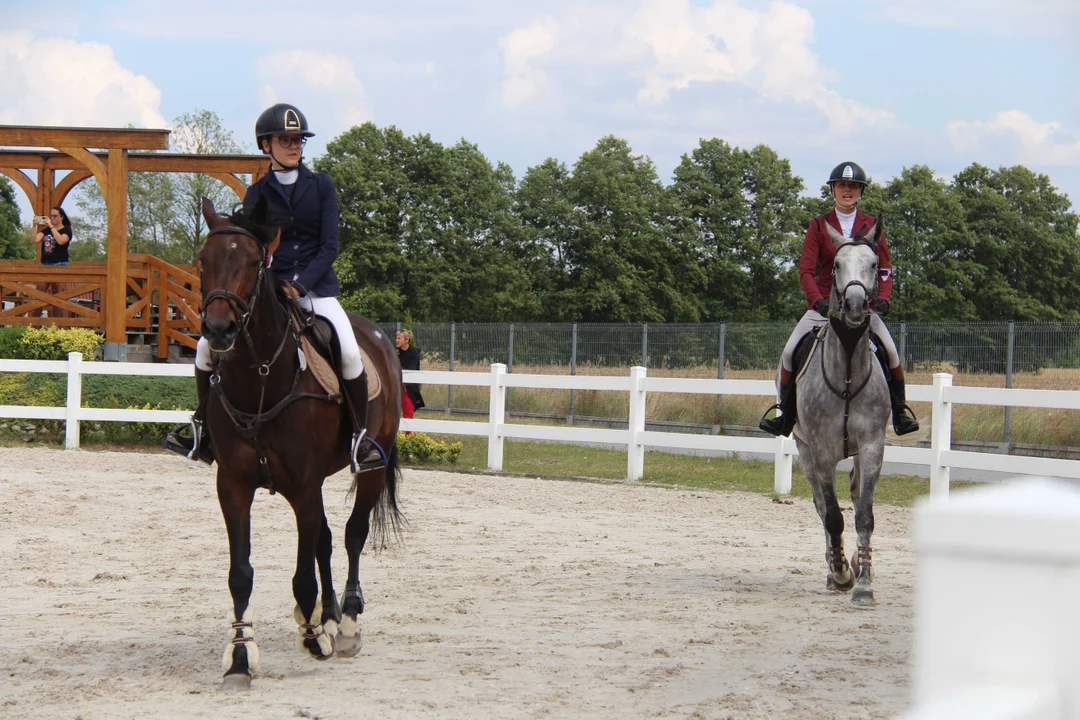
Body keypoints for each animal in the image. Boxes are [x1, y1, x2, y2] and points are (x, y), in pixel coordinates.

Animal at [196, 197, 403, 690]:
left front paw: (315, 639)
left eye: (254, 263)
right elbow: (241, 574)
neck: (259, 378)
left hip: (372, 466)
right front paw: (240, 656)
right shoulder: (233, 486)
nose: (218, 330)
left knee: (351, 535)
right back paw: (327, 615)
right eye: (203, 261)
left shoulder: (304, 486)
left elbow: (304, 573)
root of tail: (380, 338)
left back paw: (346, 624)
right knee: (325, 541)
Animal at [781, 220, 889, 608]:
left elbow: (864, 515)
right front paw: (842, 575)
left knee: (855, 498)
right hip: (805, 453)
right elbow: (832, 516)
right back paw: (834, 569)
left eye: (875, 264)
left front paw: (864, 584)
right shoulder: (822, 453)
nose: (856, 305)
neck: (846, 373)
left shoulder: (872, 447)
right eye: (836, 266)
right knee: (820, 507)